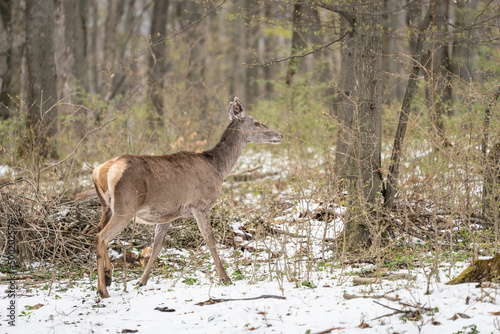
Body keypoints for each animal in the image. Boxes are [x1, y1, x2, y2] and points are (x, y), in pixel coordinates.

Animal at [93, 96, 282, 298]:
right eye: (257, 123)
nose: (279, 135)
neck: (217, 168)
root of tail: (102, 171)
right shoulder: (201, 204)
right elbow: (210, 240)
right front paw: (225, 278)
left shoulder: (167, 214)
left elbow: (156, 247)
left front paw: (141, 281)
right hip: (125, 206)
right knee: (101, 237)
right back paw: (103, 289)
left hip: (107, 207)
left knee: (98, 229)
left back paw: (108, 276)